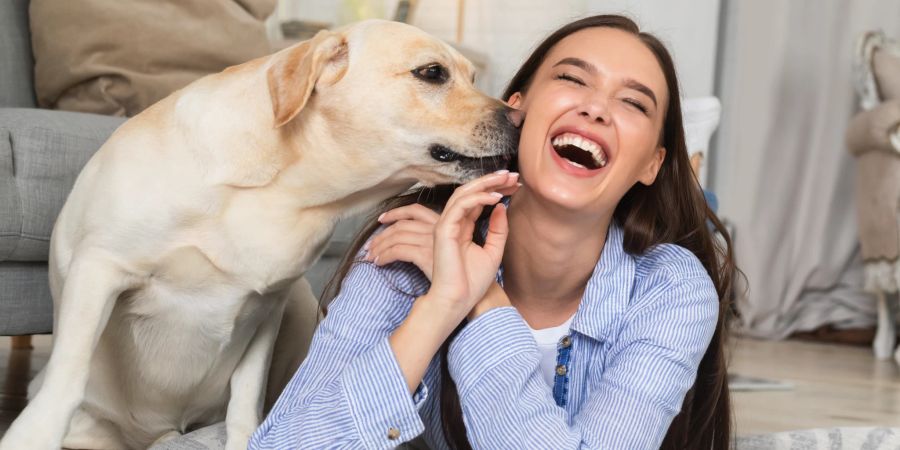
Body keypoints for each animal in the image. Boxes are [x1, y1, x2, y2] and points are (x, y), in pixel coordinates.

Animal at [0, 18, 520, 450]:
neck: (284, 189)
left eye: (473, 78)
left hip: (301, 306)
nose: (518, 119)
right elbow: (69, 372)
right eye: (432, 73)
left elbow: (245, 399)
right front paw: (31, 436)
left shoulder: (270, 303)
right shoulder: (100, 267)